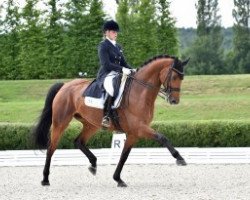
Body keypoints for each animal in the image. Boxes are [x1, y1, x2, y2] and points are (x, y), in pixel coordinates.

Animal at [33, 54, 189, 188]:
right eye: (174, 76)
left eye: (182, 78)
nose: (174, 101)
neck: (140, 92)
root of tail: (65, 86)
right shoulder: (139, 128)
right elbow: (162, 137)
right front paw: (179, 158)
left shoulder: (133, 134)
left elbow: (124, 156)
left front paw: (118, 179)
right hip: (61, 122)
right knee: (51, 148)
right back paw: (45, 179)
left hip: (91, 125)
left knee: (79, 141)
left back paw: (93, 164)